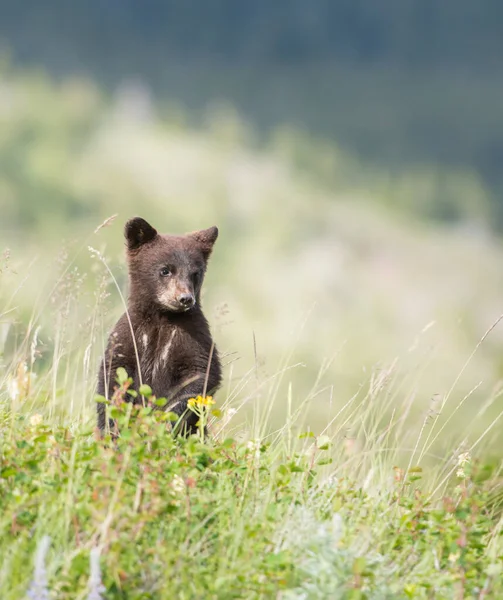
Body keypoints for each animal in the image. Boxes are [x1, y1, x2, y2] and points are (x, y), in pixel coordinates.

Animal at [97, 216, 222, 436]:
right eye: (165, 270)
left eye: (195, 273)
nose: (185, 299)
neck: (162, 317)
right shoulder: (129, 335)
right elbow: (112, 374)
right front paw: (112, 424)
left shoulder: (193, 336)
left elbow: (200, 373)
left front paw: (167, 420)